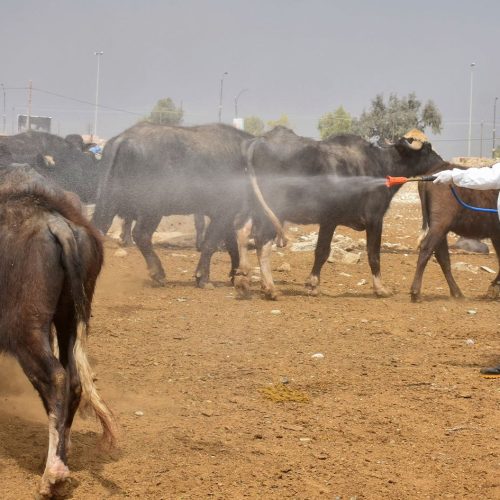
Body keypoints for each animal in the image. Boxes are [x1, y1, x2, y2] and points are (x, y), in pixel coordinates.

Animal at [0, 163, 116, 496]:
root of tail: (57, 225)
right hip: (68, 320)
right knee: (74, 380)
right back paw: (61, 456)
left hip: (25, 328)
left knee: (56, 377)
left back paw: (53, 474)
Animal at [92, 122, 252, 288]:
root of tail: (123, 139)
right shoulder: (224, 212)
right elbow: (210, 244)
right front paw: (203, 278)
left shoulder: (228, 215)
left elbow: (232, 245)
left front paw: (235, 275)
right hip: (152, 208)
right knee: (141, 235)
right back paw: (158, 273)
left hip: (108, 201)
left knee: (99, 228)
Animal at [234, 127, 442, 298]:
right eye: (428, 148)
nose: (442, 162)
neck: (380, 165)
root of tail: (258, 141)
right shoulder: (368, 219)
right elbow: (365, 253)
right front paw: (380, 288)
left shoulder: (332, 221)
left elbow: (323, 252)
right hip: (273, 211)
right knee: (262, 241)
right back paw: (269, 288)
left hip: (254, 207)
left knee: (242, 231)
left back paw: (243, 278)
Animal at [410, 165, 500, 300]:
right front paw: (493, 289)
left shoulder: (496, 235)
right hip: (440, 224)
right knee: (426, 248)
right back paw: (415, 293)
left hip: (440, 229)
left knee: (442, 257)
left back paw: (457, 293)